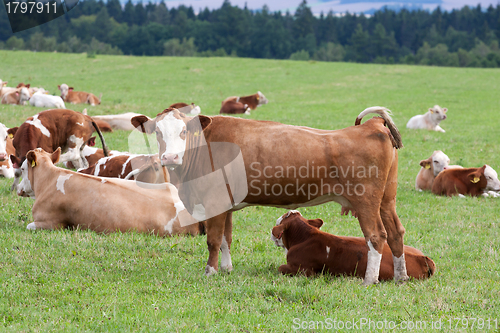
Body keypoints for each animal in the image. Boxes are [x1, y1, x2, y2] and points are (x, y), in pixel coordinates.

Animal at [132, 106, 406, 286]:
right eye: (157, 132)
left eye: (184, 132)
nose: (170, 157)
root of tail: (373, 125)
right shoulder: (226, 204)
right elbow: (226, 239)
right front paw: (226, 269)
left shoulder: (214, 201)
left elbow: (213, 240)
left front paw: (210, 272)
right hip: (386, 200)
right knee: (395, 233)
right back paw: (400, 276)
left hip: (366, 201)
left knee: (376, 235)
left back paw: (370, 280)